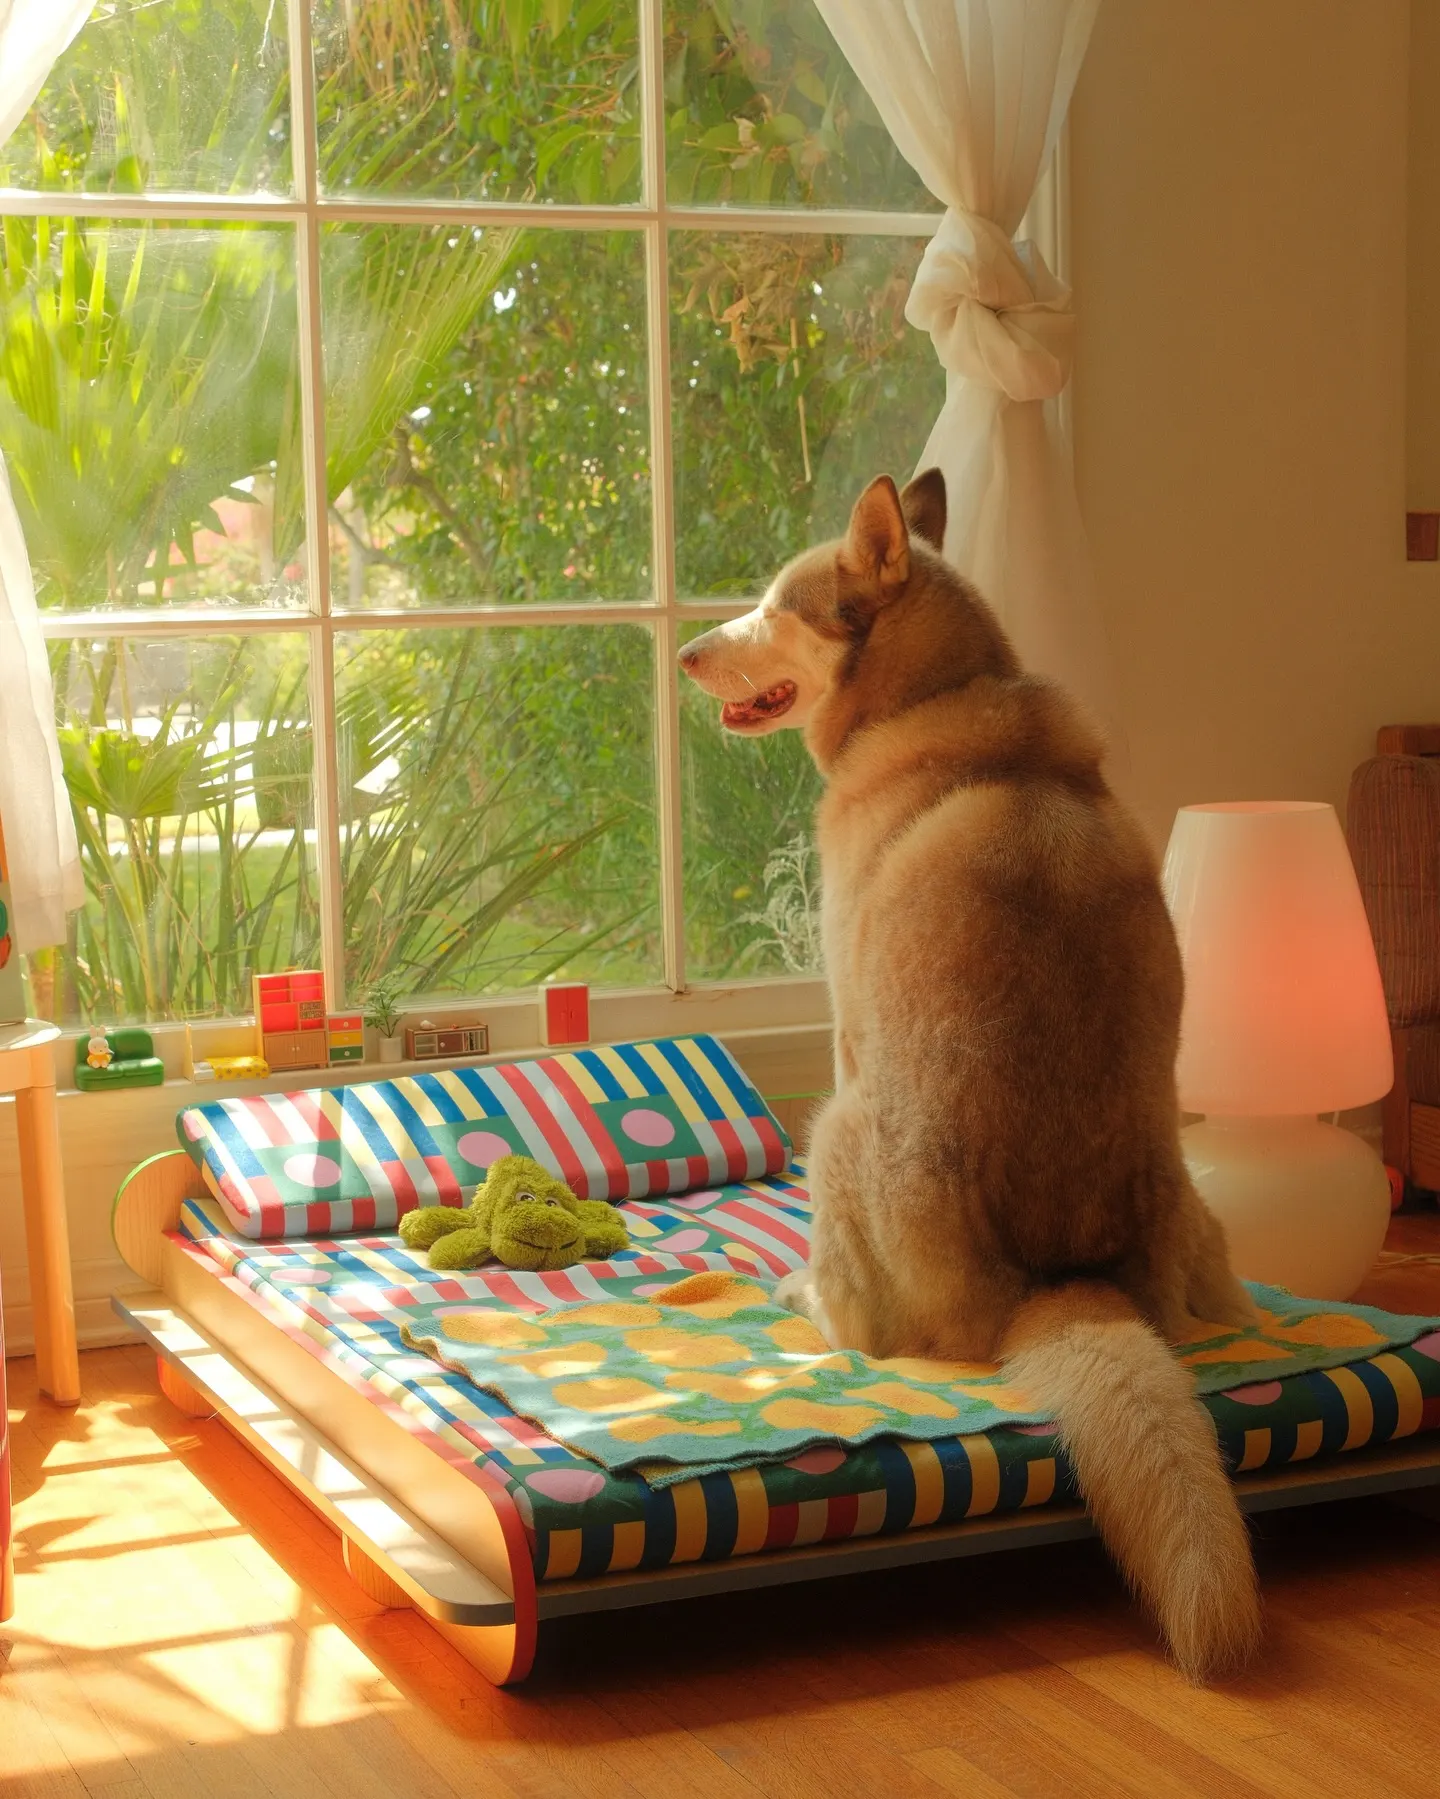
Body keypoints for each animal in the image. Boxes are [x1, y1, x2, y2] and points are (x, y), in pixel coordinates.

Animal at [680, 471, 1252, 1676]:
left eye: (776, 607)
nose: (690, 651)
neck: (945, 698)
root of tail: (1063, 1282)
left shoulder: (846, 1022)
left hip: (834, 1127)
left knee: (864, 1328)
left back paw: (802, 1297)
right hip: (1191, 1203)